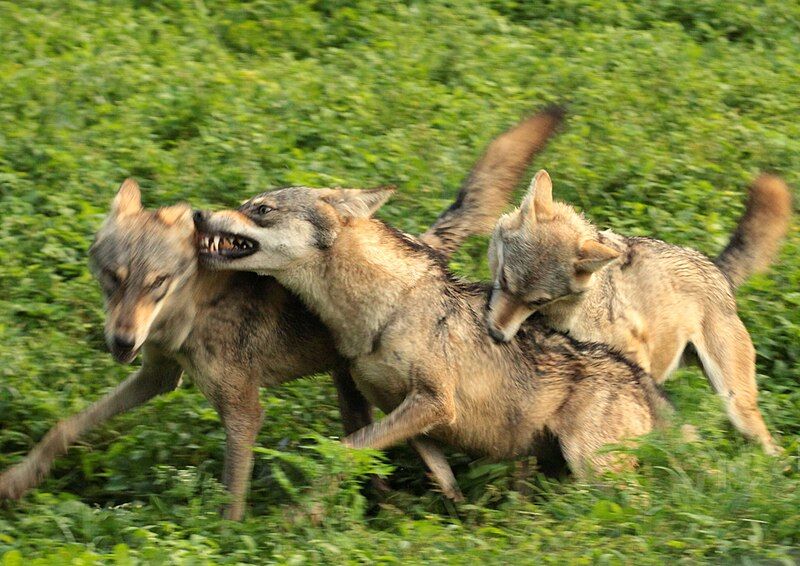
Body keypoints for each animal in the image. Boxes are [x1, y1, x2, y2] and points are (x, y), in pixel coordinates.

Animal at [0, 107, 565, 519]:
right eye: (113, 280)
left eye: (157, 284)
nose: (121, 342)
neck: (189, 314)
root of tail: (425, 243)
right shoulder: (159, 376)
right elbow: (66, 426)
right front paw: (18, 480)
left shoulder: (243, 411)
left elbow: (232, 495)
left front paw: (229, 542)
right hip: (356, 392)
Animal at [192, 185, 669, 485]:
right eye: (245, 203)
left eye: (261, 209)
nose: (197, 214)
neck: (384, 309)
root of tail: (642, 383)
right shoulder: (405, 412)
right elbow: (439, 476)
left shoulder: (435, 403)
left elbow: (345, 449)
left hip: (594, 472)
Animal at [485, 170, 791, 454]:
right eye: (504, 279)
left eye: (537, 301)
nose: (495, 334)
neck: (573, 314)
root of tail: (715, 269)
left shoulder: (633, 362)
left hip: (736, 404)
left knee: (770, 447)